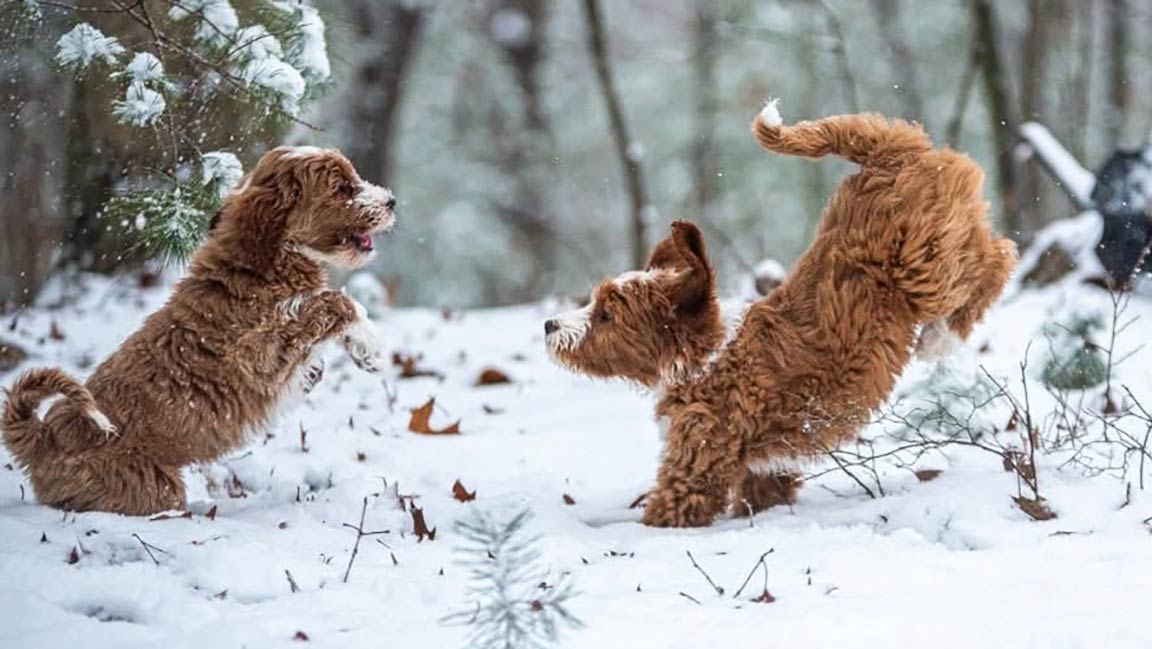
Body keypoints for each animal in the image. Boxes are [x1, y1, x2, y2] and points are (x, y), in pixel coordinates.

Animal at [2, 144, 396, 516]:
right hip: (150, 486)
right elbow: (328, 302)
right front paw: (368, 339)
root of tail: (43, 441)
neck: (266, 260)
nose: (390, 201)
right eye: (342, 188)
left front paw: (353, 356)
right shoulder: (256, 354)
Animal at [548, 101, 1018, 527]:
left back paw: (941, 336)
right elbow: (763, 496)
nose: (550, 325)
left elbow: (668, 510)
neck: (707, 356)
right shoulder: (765, 470)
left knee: (997, 255)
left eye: (607, 315)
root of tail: (888, 154)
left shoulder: (698, 457)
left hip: (924, 259)